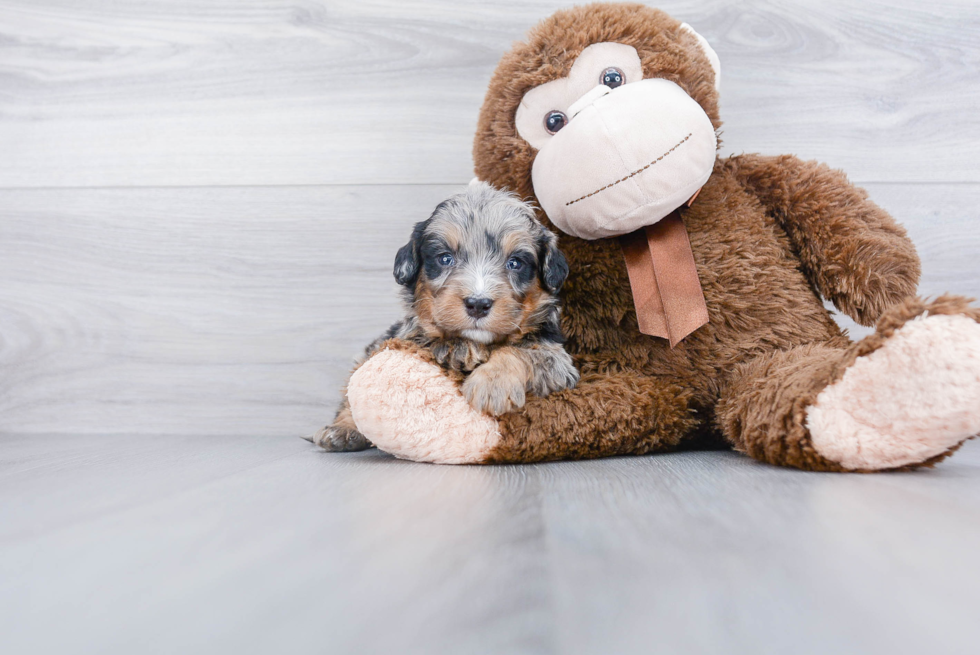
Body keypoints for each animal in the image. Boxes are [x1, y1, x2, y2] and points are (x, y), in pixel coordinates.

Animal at [310, 182, 580, 454]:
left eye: (515, 263)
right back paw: (342, 430)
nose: (478, 304)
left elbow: (522, 351)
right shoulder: (406, 337)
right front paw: (456, 347)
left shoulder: (556, 360)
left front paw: (491, 385)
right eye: (445, 258)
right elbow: (431, 340)